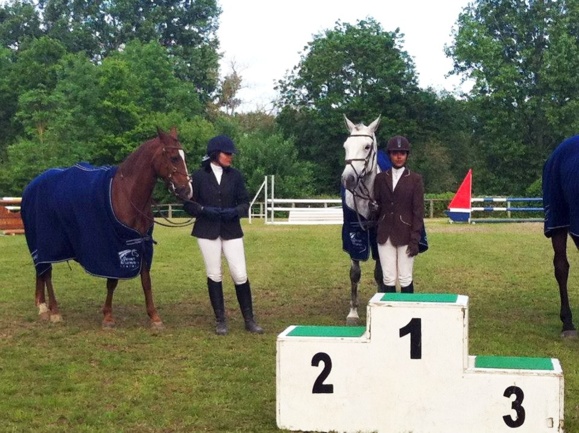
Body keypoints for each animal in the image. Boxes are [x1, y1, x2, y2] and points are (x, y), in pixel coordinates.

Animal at [21, 126, 193, 330]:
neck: (127, 195)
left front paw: (154, 317)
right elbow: (112, 282)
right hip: (48, 243)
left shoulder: (141, 243)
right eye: (174, 157)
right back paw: (54, 311)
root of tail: (31, 186)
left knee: (41, 270)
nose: (187, 191)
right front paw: (108, 317)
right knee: (47, 274)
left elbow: (146, 281)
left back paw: (42, 306)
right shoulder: (113, 246)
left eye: (183, 156)